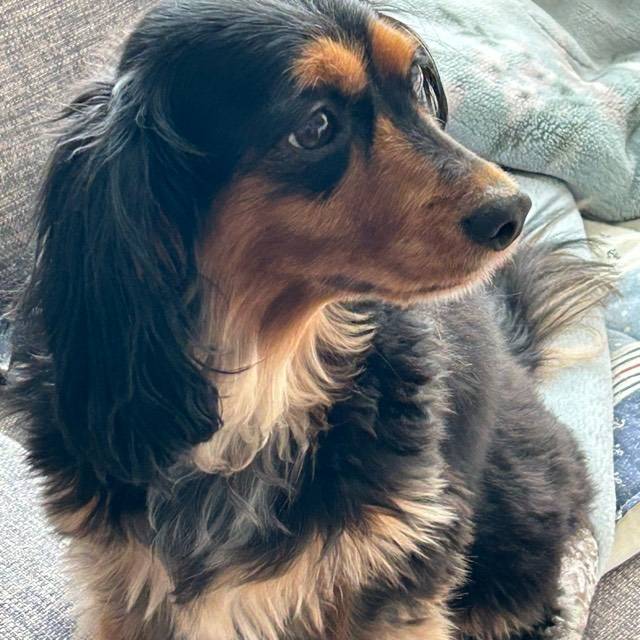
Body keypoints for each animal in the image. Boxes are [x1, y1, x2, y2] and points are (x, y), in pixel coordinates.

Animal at [4, 1, 613, 638]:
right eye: (315, 127)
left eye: (414, 86)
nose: (513, 212)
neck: (262, 377)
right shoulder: (125, 583)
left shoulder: (397, 570)